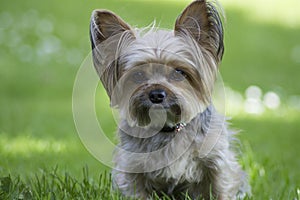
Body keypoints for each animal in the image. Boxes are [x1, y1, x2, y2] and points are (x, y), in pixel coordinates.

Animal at [89, 0, 251, 199]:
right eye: (138, 75)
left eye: (179, 72)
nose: (156, 95)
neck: (168, 129)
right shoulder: (132, 168)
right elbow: (136, 192)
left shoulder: (216, 161)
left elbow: (220, 188)